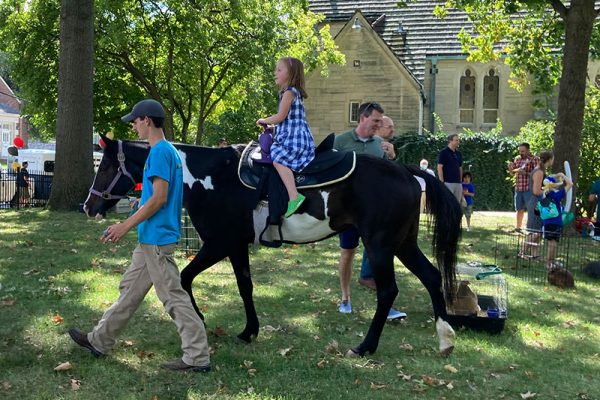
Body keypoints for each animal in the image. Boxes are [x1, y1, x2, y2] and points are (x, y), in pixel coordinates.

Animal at [84, 135, 462, 356]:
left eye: (106, 165)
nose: (88, 205)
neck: (211, 177)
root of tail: (406, 171)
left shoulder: (219, 244)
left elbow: (187, 278)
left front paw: (201, 317)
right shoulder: (236, 246)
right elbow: (245, 286)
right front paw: (249, 330)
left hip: (381, 245)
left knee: (388, 291)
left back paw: (366, 345)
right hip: (403, 243)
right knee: (431, 277)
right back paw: (444, 337)